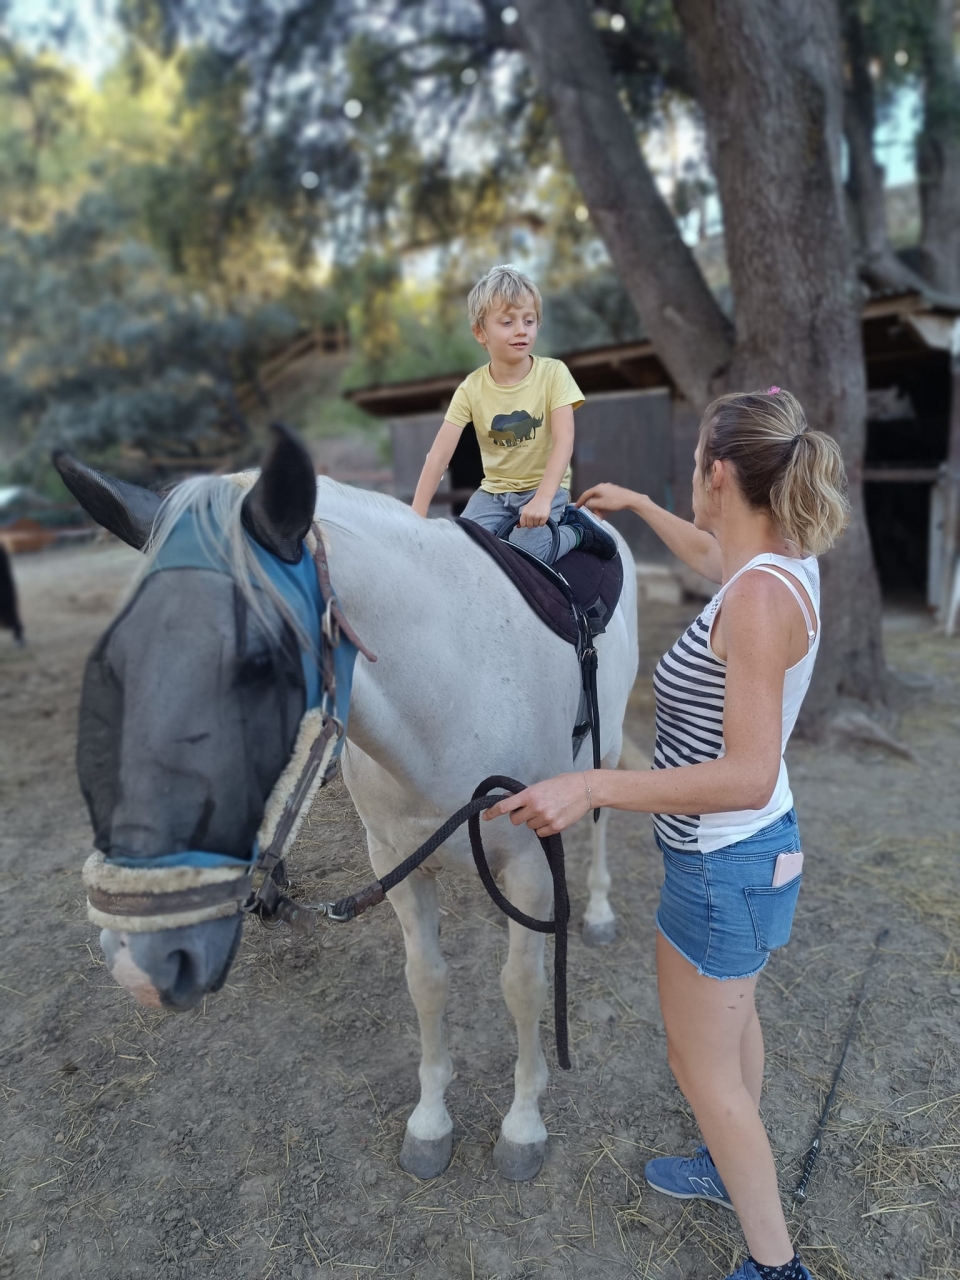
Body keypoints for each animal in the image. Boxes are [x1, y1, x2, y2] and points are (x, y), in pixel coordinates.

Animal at [54, 424, 638, 1181]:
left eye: (260, 665)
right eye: (115, 663)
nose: (137, 962)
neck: (456, 688)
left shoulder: (532, 862)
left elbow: (522, 986)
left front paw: (522, 1126)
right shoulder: (396, 860)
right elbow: (427, 982)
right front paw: (430, 1122)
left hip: (606, 747)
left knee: (601, 821)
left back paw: (597, 913)